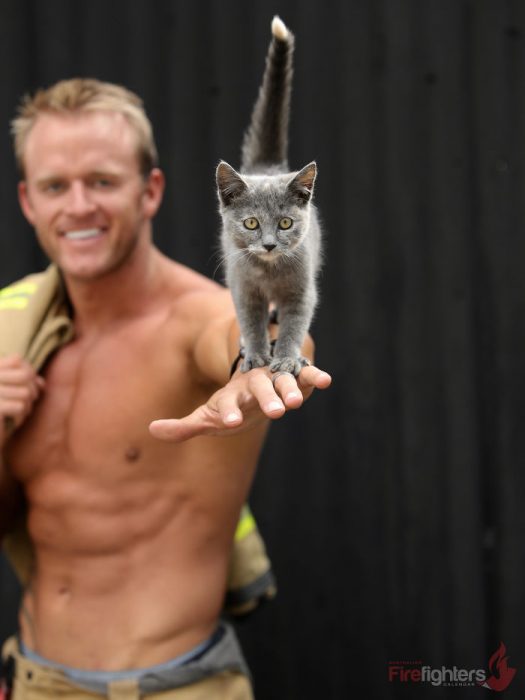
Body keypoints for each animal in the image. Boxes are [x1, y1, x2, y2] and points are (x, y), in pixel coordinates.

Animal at [216, 17, 322, 378]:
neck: (269, 271)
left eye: (286, 223)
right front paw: (256, 354)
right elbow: (250, 321)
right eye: (251, 224)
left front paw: (288, 358)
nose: (270, 244)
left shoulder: (302, 290)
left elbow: (294, 324)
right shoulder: (242, 285)